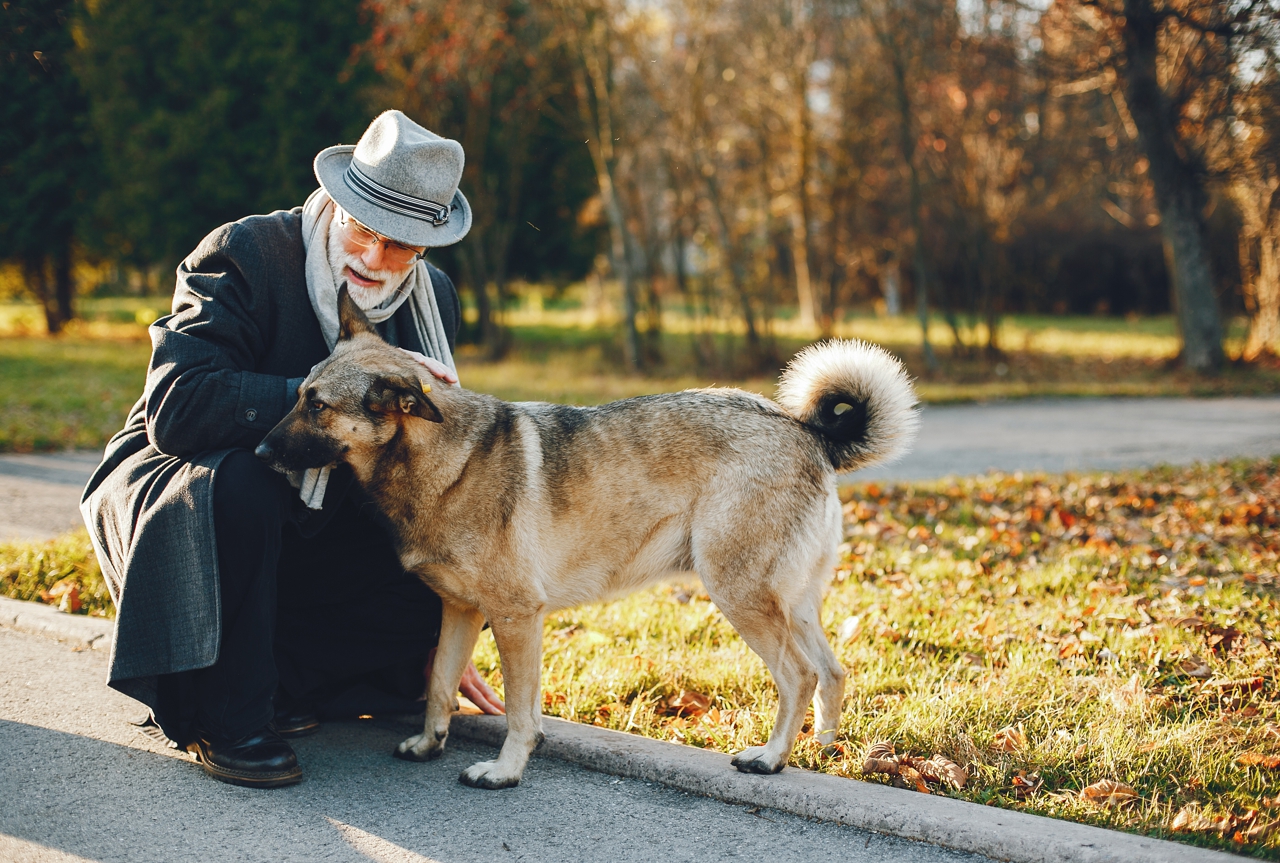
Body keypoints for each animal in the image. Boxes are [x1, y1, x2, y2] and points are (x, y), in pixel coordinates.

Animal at [257, 284, 921, 788]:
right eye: (300, 396)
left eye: (316, 406)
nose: (260, 452)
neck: (442, 459)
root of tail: (807, 431)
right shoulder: (460, 612)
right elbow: (441, 684)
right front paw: (428, 743)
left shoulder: (516, 618)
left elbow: (519, 711)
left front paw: (505, 771)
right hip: (792, 601)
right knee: (831, 671)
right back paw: (823, 749)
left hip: (740, 594)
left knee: (799, 675)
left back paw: (773, 758)